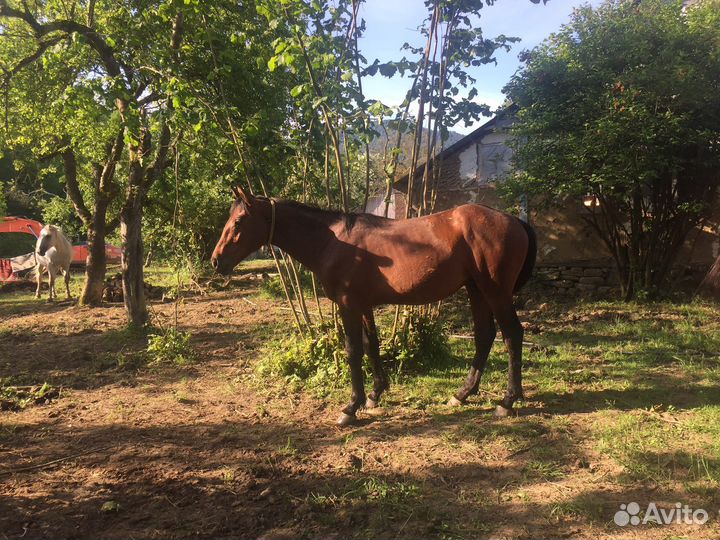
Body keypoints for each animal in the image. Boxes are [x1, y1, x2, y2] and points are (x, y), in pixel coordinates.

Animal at [211, 186, 537, 426]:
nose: (216, 261)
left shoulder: (348, 305)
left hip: (494, 292)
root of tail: (513, 220)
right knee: (484, 336)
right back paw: (462, 394)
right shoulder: (364, 304)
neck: (333, 242)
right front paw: (375, 395)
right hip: (476, 290)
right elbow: (372, 346)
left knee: (512, 334)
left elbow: (353, 351)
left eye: (238, 221)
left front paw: (351, 407)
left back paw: (508, 400)